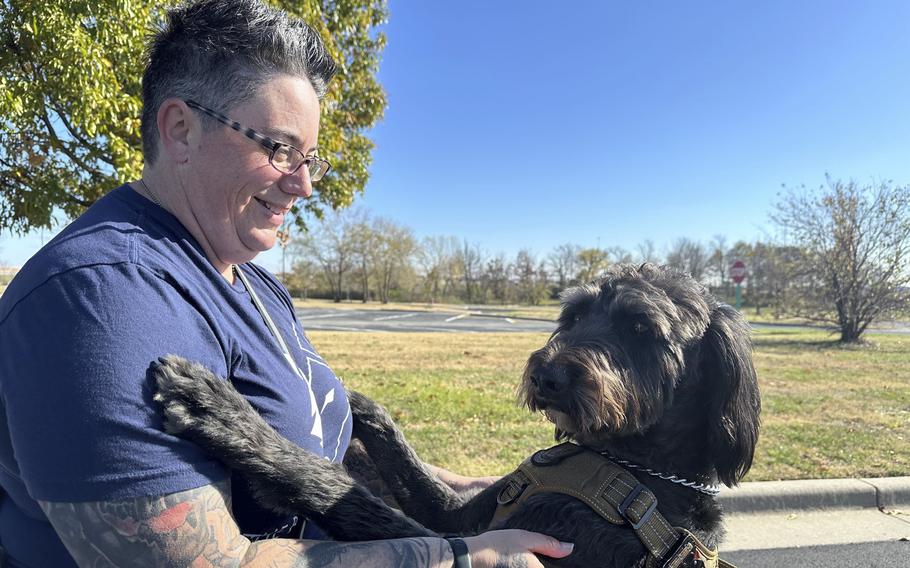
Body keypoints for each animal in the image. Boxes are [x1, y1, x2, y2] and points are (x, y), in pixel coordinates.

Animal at [153, 264, 760, 564]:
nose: (546, 374)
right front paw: (357, 404)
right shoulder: (462, 515)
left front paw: (223, 414)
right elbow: (401, 460)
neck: (633, 468)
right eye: (573, 315)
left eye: (640, 329)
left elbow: (342, 491)